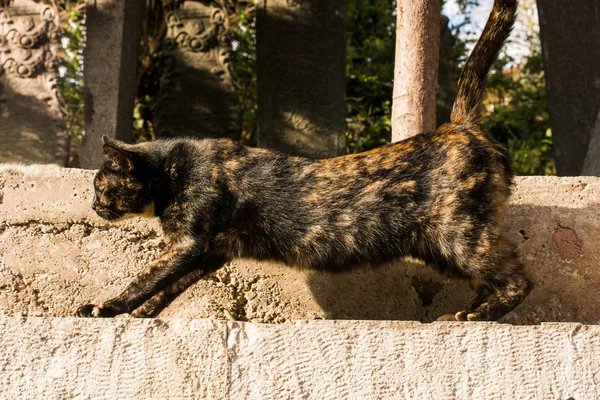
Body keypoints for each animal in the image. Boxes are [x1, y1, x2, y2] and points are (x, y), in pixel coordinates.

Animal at [77, 0, 532, 320]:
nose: (94, 206)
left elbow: (145, 277)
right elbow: (170, 286)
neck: (174, 169)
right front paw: (142, 314)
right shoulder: (208, 252)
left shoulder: (189, 242)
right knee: (491, 278)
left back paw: (480, 316)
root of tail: (458, 125)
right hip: (442, 246)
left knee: (518, 279)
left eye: (100, 186)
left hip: (459, 235)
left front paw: (106, 307)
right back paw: (471, 310)